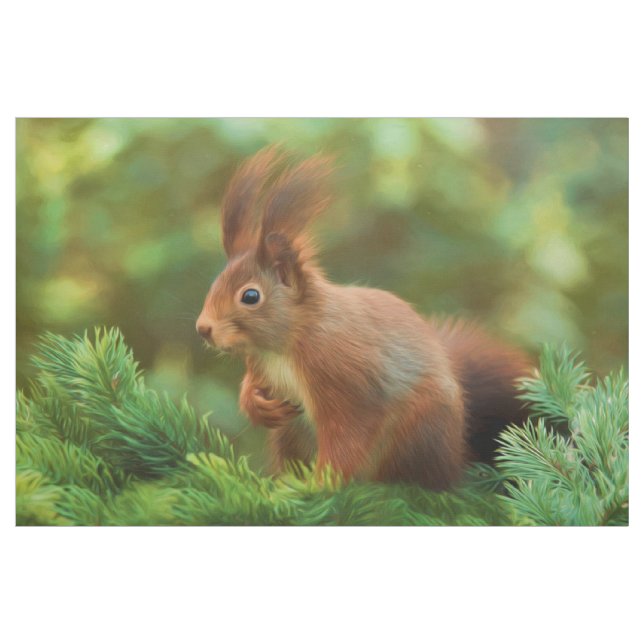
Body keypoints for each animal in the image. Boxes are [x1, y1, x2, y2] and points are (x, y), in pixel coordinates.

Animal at [196, 146, 531, 490]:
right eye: (216, 283)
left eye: (250, 296)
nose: (203, 328)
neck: (284, 345)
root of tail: (455, 458)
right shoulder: (261, 365)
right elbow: (252, 387)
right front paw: (257, 405)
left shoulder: (344, 377)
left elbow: (347, 437)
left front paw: (321, 486)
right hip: (290, 434)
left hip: (417, 427)